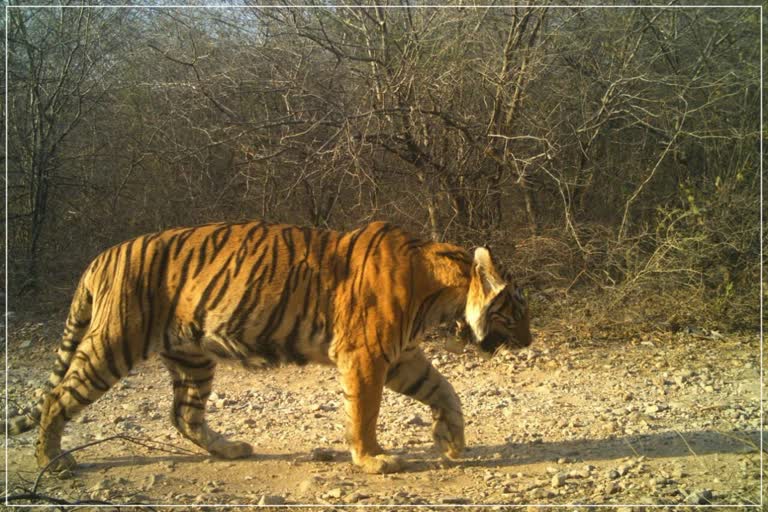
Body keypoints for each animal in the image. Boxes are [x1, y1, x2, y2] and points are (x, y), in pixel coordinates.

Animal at [7, 222, 536, 474]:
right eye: (515, 311)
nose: (532, 338)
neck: (439, 290)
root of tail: (101, 256)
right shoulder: (367, 356)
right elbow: (365, 413)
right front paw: (373, 460)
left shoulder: (401, 356)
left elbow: (445, 390)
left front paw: (451, 441)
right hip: (115, 343)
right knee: (57, 397)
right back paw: (53, 462)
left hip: (192, 357)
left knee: (185, 415)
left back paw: (230, 449)